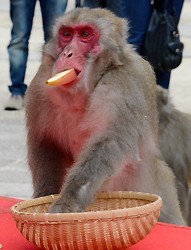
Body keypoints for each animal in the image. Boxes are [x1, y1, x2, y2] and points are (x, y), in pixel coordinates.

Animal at [25, 8, 185, 225]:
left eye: (85, 34)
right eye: (66, 34)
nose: (67, 53)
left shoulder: (122, 84)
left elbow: (109, 143)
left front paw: (68, 201)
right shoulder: (40, 84)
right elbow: (47, 143)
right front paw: (44, 197)